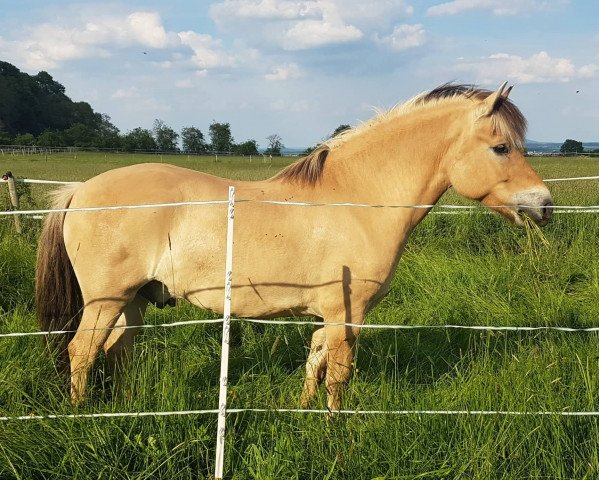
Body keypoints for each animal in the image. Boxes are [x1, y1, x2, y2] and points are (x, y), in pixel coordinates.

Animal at [37, 81, 552, 408]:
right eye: (502, 147)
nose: (544, 204)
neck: (358, 198)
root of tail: (79, 190)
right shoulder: (348, 313)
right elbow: (339, 372)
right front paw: (335, 431)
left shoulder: (330, 313)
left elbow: (315, 360)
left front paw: (305, 414)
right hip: (106, 300)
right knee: (82, 352)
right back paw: (82, 415)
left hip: (134, 300)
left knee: (116, 352)